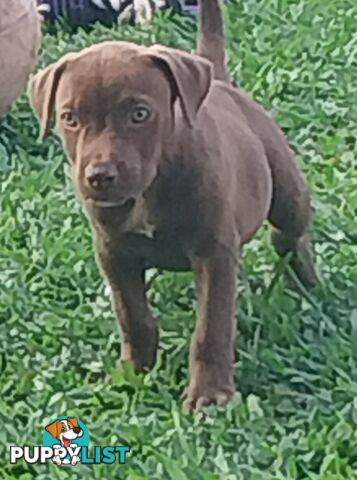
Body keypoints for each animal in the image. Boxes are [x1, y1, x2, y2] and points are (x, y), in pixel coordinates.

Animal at [28, 0, 318, 410]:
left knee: (290, 235)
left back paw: (308, 286)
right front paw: (133, 371)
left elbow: (211, 328)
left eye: (139, 113)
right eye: (69, 118)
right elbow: (133, 316)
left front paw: (210, 395)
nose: (99, 176)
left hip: (286, 191)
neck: (150, 188)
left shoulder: (213, 254)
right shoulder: (114, 253)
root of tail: (221, 84)